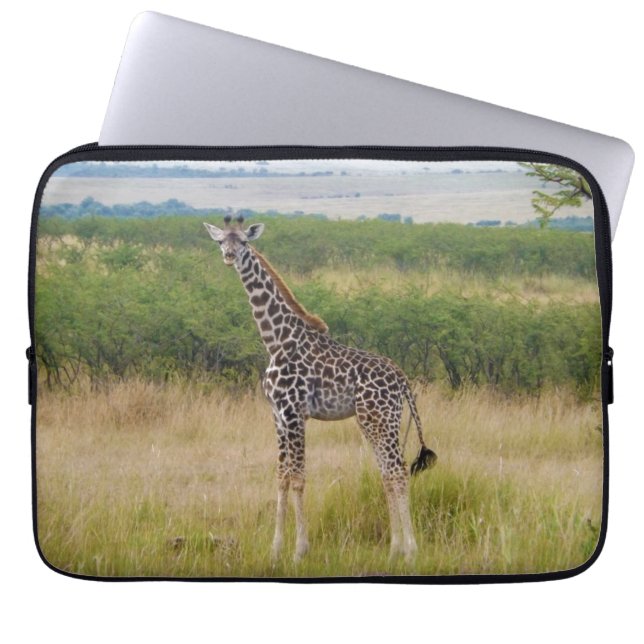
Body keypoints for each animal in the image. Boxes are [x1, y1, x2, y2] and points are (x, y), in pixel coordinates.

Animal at [204, 215, 437, 563]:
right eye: (221, 241)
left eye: (244, 241)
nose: (229, 256)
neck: (276, 342)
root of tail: (403, 379)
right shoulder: (277, 416)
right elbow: (281, 477)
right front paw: (275, 550)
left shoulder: (295, 414)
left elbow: (299, 478)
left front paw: (300, 550)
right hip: (372, 421)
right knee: (386, 472)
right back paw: (394, 548)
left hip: (381, 419)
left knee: (397, 471)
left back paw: (410, 550)